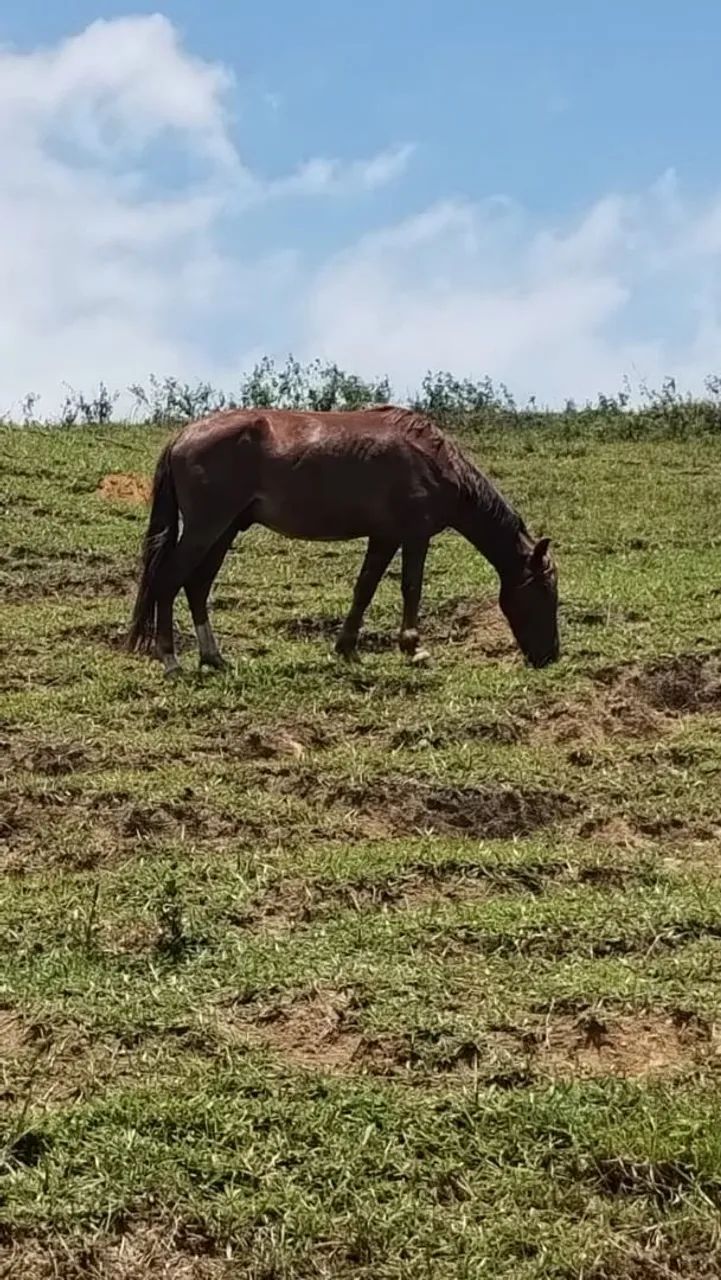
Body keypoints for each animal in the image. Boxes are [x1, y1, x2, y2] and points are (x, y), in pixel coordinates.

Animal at [128, 405, 559, 676]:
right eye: (545, 593)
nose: (551, 656)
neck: (433, 460)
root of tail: (183, 436)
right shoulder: (414, 535)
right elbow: (411, 587)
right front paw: (413, 648)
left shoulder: (384, 537)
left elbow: (364, 588)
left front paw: (347, 647)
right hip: (207, 527)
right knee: (168, 582)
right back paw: (171, 660)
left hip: (224, 529)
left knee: (196, 587)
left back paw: (213, 658)